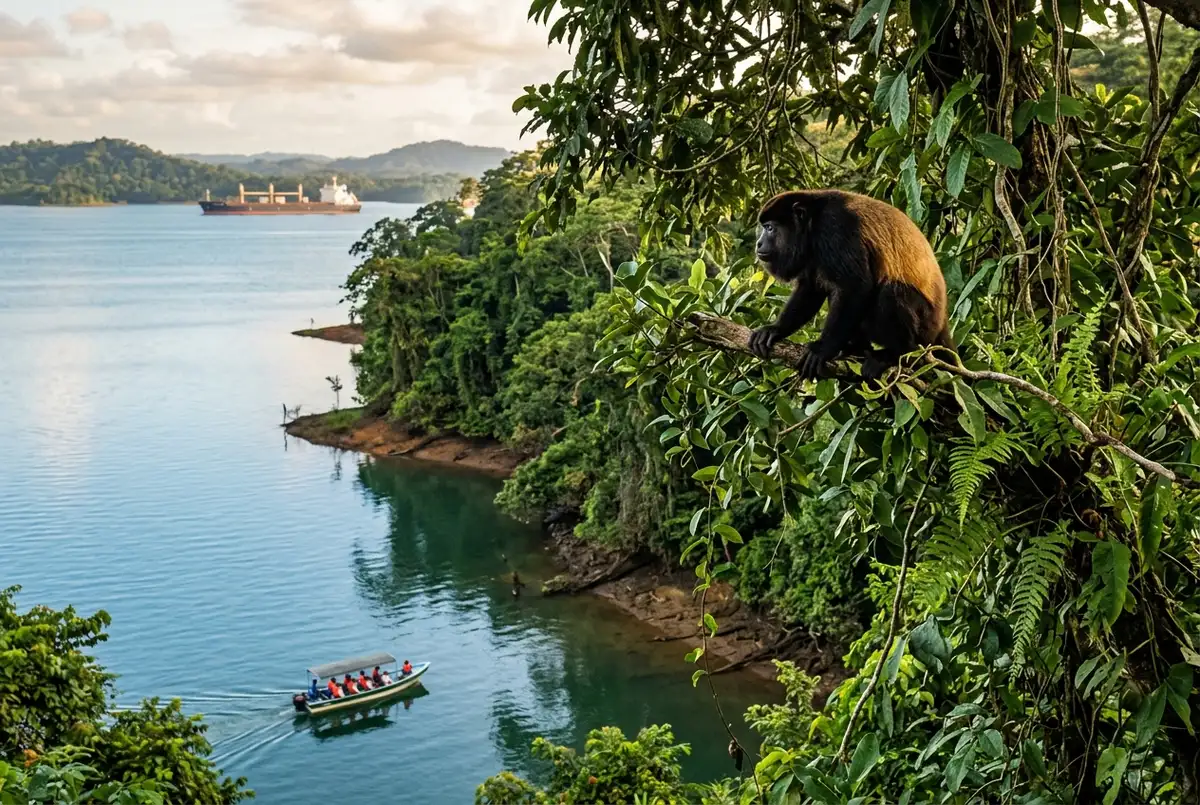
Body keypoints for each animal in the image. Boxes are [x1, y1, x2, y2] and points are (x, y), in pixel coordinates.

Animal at [748, 189, 955, 381]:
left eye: (770, 228)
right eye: (764, 227)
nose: (758, 243)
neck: (813, 221)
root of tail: (941, 322)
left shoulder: (835, 228)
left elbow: (856, 286)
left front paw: (822, 350)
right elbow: (811, 290)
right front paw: (775, 329)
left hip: (925, 327)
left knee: (890, 292)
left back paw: (895, 354)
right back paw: (857, 349)